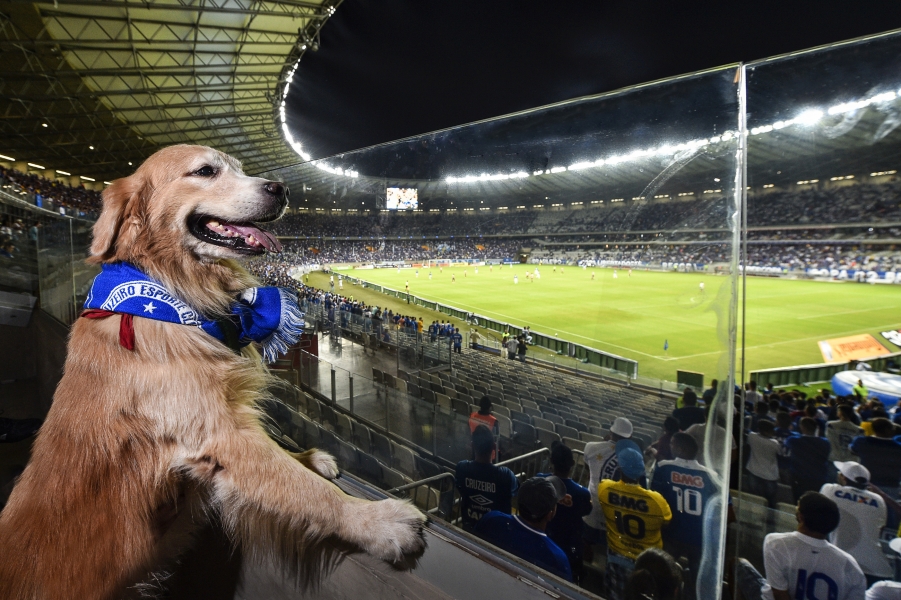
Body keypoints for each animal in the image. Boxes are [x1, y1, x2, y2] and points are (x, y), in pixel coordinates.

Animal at [0, 146, 426, 600]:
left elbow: (280, 458)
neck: (170, 293)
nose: (282, 188)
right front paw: (375, 522)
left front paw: (306, 456)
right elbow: (304, 489)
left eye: (240, 168)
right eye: (205, 170)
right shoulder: (216, 434)